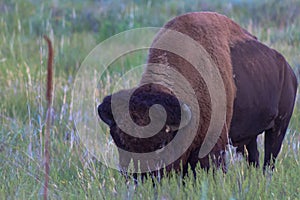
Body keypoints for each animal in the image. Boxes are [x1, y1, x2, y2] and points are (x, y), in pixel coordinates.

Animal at [97, 11, 296, 177]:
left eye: (161, 145)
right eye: (121, 143)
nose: (140, 178)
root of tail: (288, 70)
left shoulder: (213, 146)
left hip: (279, 126)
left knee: (270, 157)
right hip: (250, 136)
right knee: (253, 156)